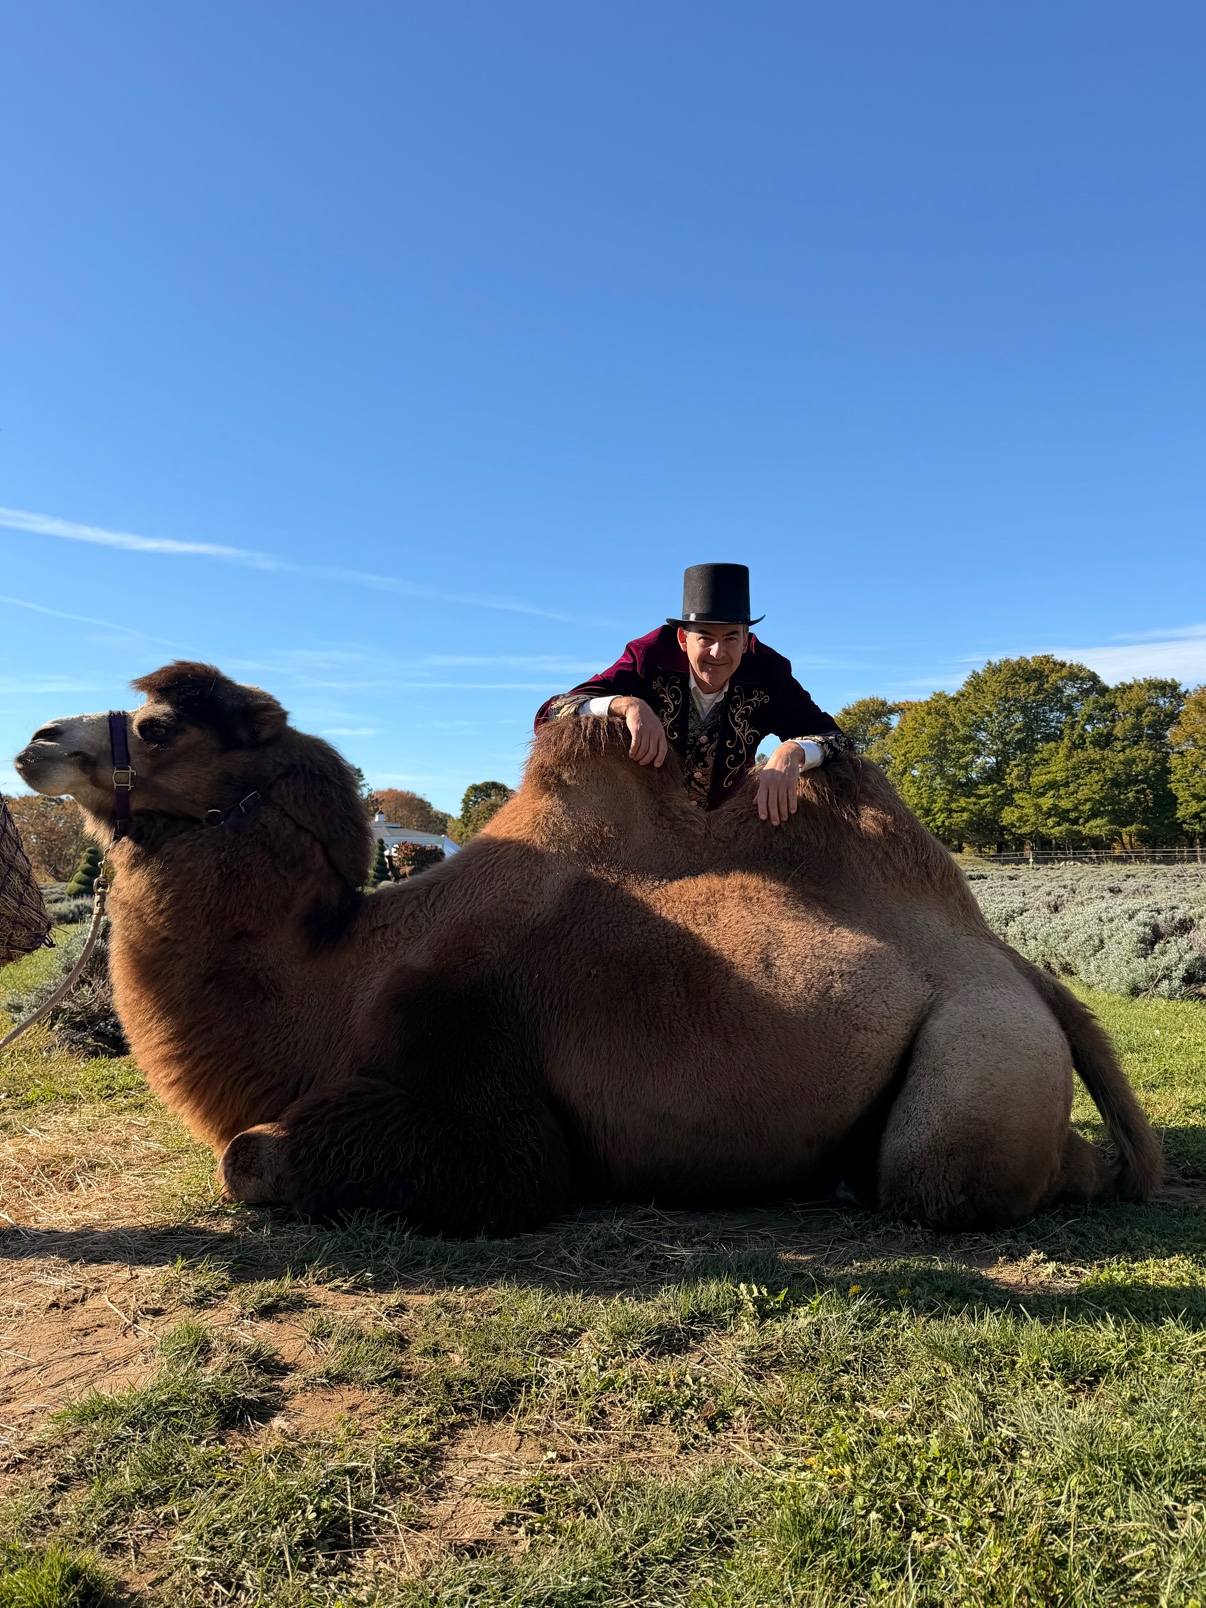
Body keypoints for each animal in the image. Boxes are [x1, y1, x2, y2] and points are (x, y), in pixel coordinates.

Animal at [14, 661, 1161, 1234]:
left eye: (159, 728)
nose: (35, 741)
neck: (338, 974)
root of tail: (1020, 966)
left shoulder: (491, 1108)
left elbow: (247, 1157)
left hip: (981, 1049)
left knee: (950, 1179)